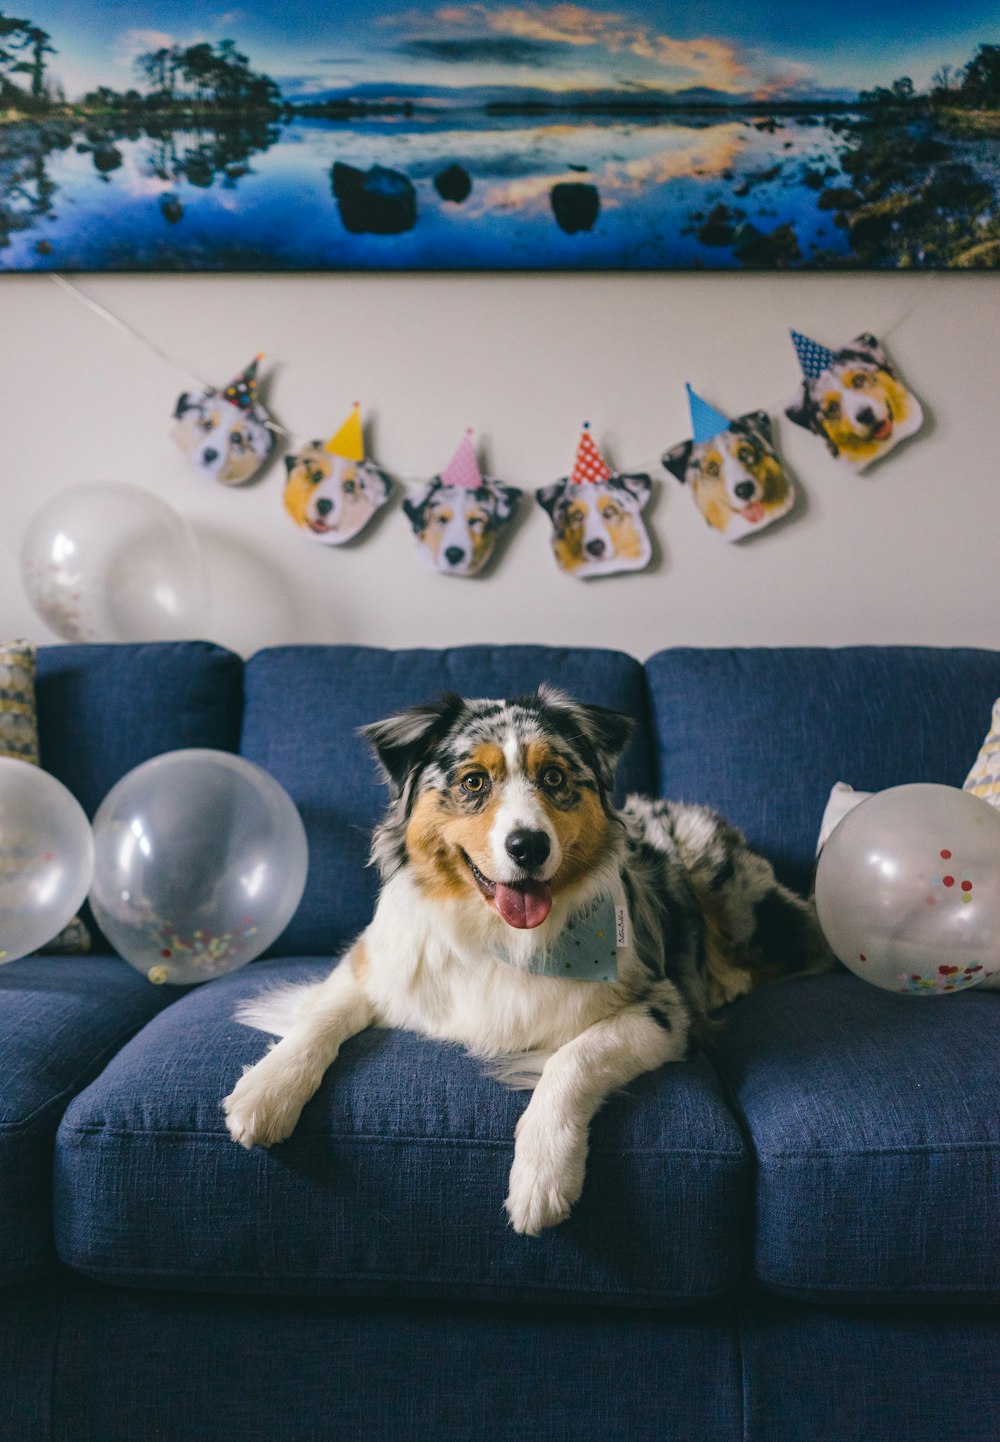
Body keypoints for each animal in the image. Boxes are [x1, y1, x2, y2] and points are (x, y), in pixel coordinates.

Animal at [222, 686, 825, 1240]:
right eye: (473, 783)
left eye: (554, 777)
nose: (528, 846)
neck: (495, 934)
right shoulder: (374, 961)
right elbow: (318, 1019)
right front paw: (266, 1093)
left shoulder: (664, 1008)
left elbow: (573, 1060)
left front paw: (542, 1177)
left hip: (727, 887)